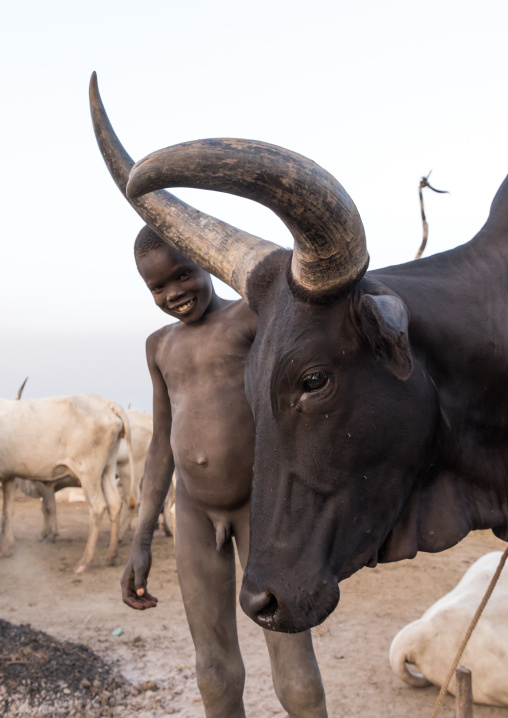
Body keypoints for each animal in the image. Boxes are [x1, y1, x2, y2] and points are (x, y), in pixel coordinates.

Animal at [0, 393, 135, 572]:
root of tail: (107, 404)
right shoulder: (8, 475)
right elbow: (8, 511)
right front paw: (6, 548)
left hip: (88, 472)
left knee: (98, 507)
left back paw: (85, 561)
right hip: (107, 468)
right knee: (114, 504)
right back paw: (111, 557)